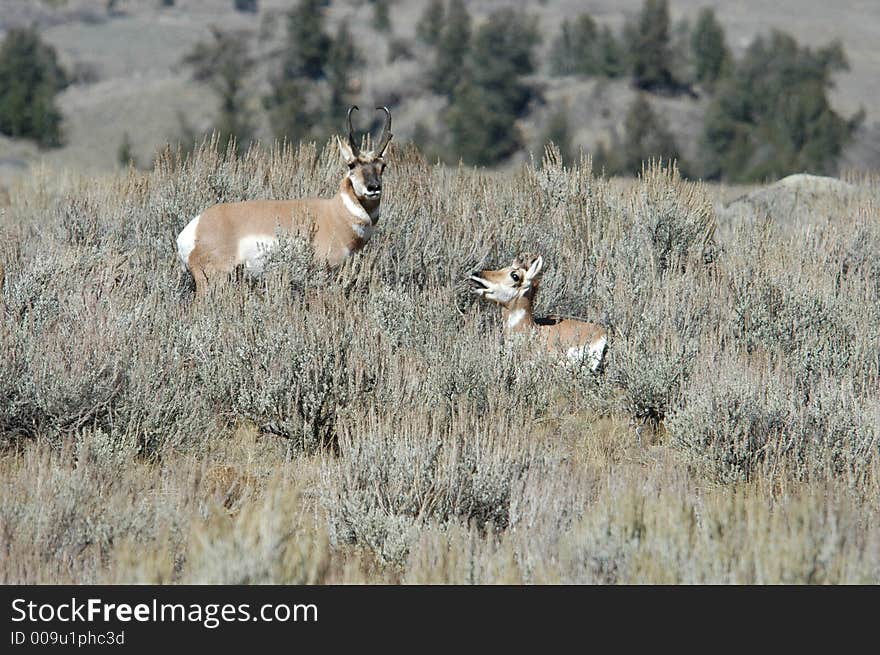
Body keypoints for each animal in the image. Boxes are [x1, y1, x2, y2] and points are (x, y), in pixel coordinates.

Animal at [177, 106, 394, 296]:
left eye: (383, 166)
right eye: (352, 165)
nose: (373, 188)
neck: (334, 214)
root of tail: (193, 227)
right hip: (213, 280)